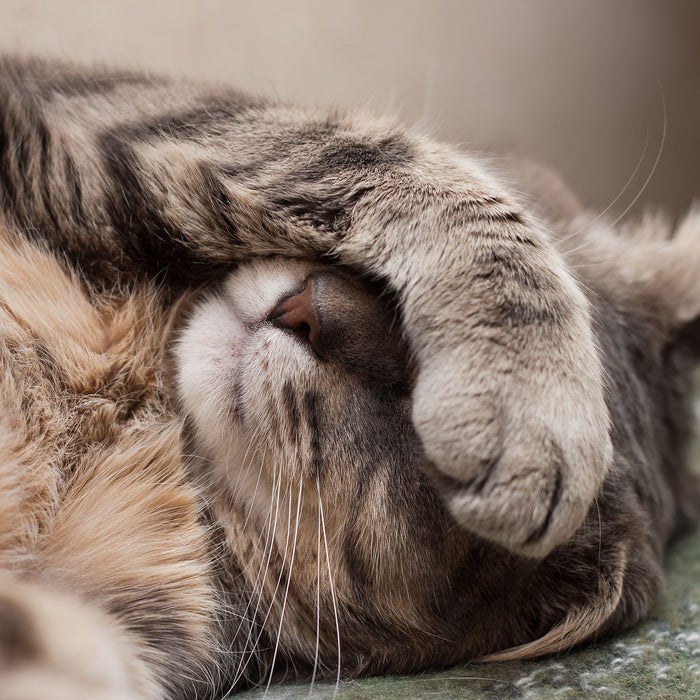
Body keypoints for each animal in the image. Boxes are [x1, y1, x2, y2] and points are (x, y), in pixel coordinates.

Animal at [0, 57, 696, 696]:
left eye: (410, 413)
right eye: (385, 287)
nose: (313, 312)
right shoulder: (116, 100)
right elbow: (400, 162)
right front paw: (535, 396)